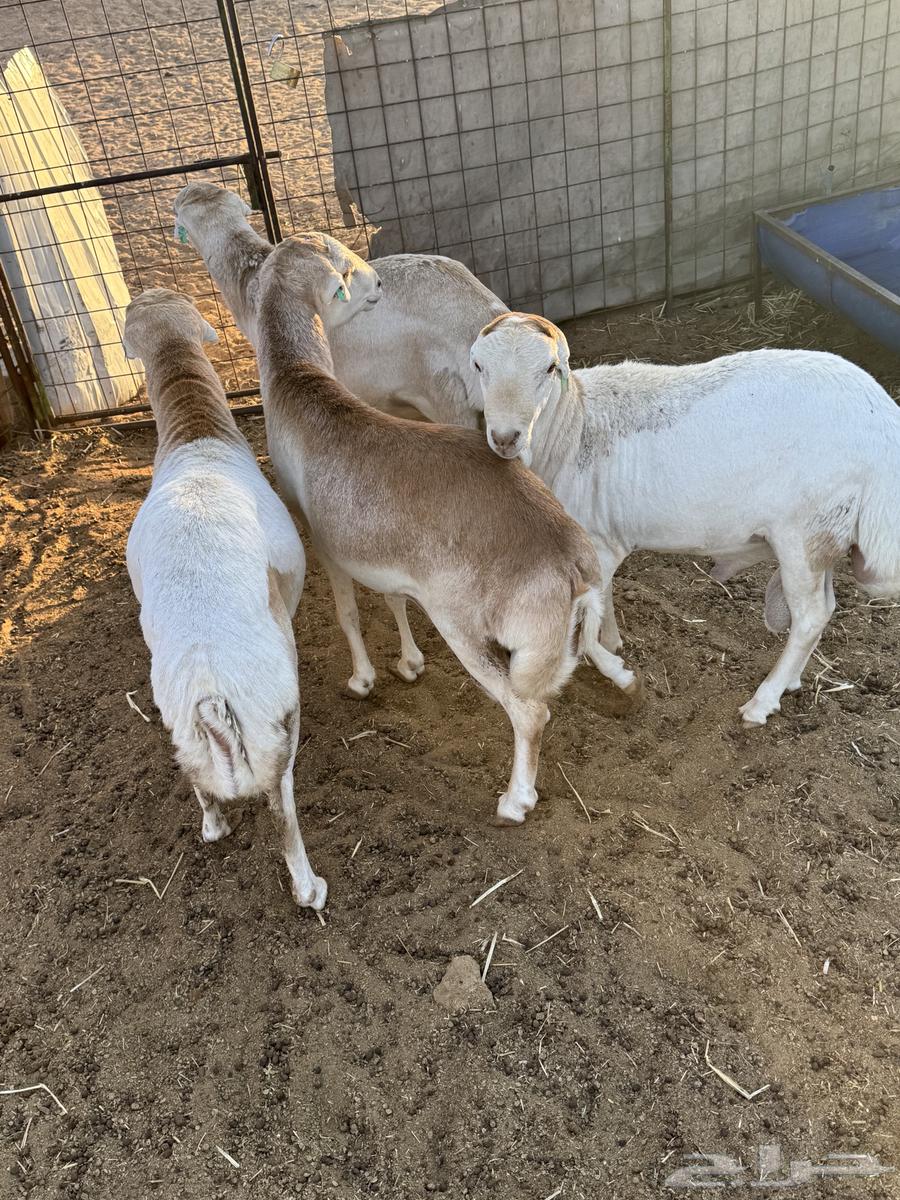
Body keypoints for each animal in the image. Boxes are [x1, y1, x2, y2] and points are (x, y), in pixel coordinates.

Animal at [123, 287, 326, 909]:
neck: (196, 436)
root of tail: (212, 689)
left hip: (182, 728)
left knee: (201, 787)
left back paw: (215, 827)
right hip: (276, 726)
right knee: (284, 810)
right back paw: (311, 889)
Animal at [250, 236, 638, 825]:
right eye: (343, 264)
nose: (379, 283)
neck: (304, 391)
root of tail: (571, 563)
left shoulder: (324, 544)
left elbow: (347, 612)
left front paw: (362, 680)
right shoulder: (388, 561)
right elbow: (392, 600)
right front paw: (409, 664)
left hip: (467, 632)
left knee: (530, 713)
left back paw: (514, 802)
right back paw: (622, 676)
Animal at [469, 311, 900, 727]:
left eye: (549, 368)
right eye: (479, 366)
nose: (505, 438)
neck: (573, 428)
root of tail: (882, 419)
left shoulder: (599, 544)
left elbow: (588, 624)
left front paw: (620, 670)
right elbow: (603, 605)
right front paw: (615, 644)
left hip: (803, 532)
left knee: (810, 616)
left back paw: (761, 703)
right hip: (825, 532)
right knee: (823, 609)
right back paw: (790, 681)